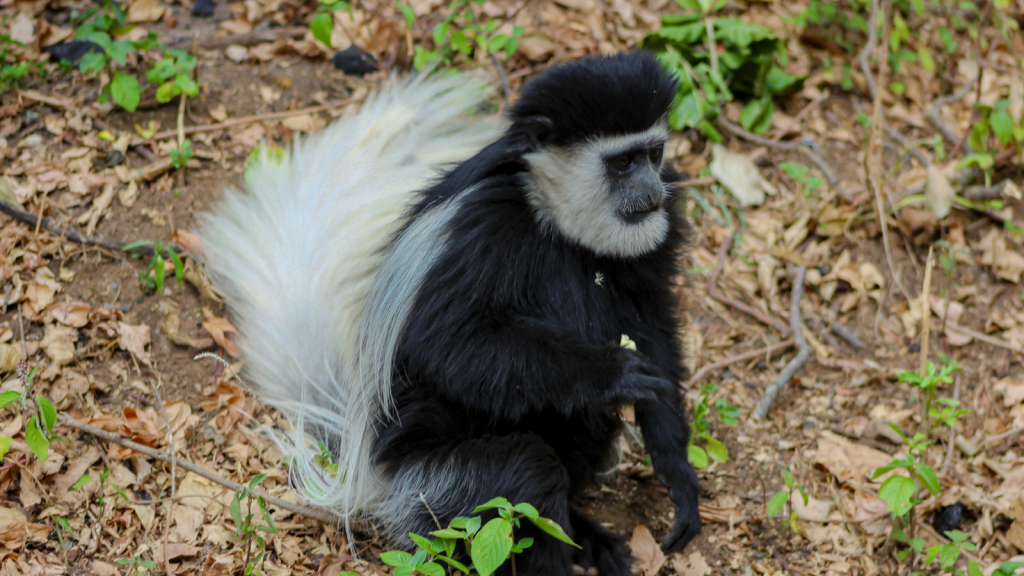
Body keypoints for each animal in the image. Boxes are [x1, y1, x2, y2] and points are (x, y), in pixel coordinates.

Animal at [196, 51, 700, 569]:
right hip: (435, 488)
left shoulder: (656, 233)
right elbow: (446, 343)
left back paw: (585, 533)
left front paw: (676, 473)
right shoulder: (482, 230)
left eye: (653, 154)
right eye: (623, 162)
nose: (652, 191)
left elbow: (653, 329)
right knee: (526, 471)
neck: (553, 215)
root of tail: (373, 473)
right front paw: (612, 371)